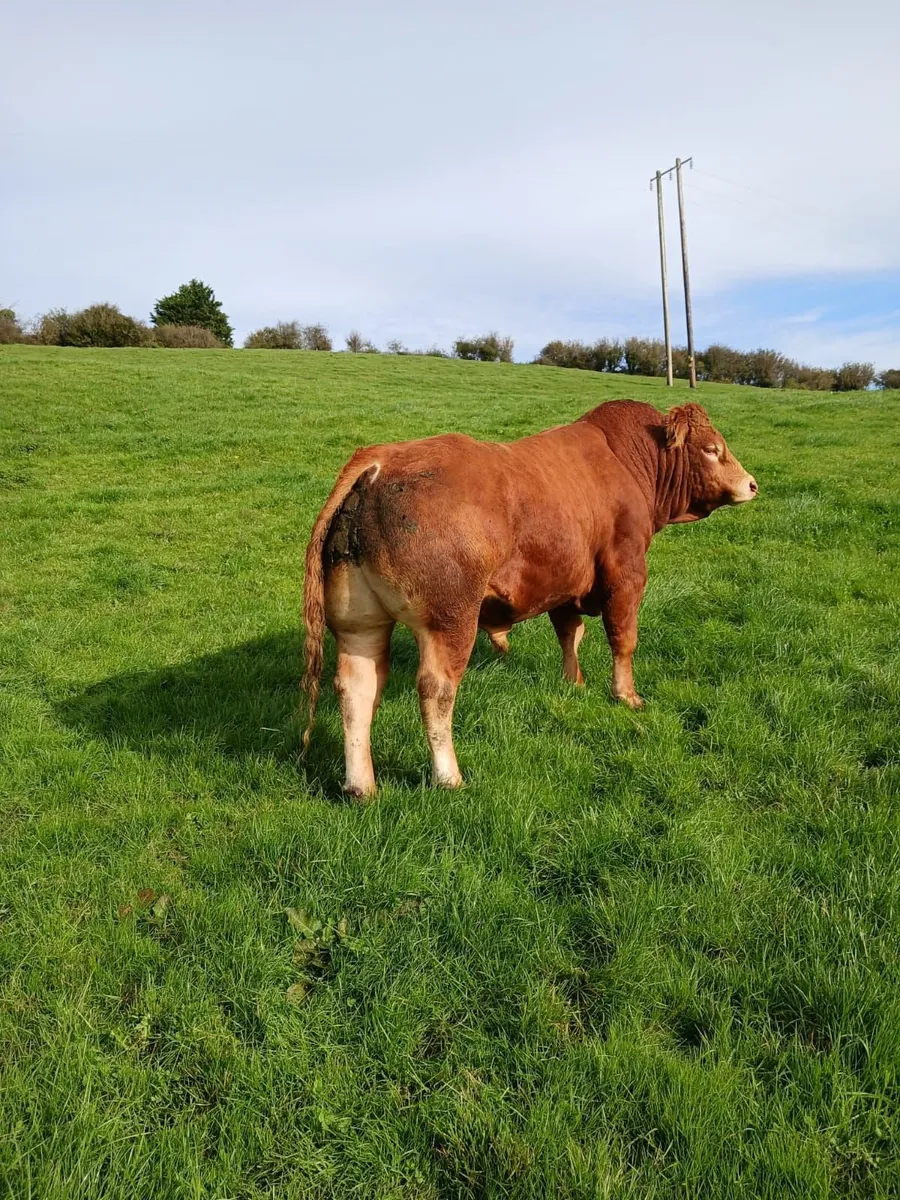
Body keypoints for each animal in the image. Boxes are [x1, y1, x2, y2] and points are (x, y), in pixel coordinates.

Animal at [302, 399, 757, 796]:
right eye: (712, 449)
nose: (752, 484)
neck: (626, 463)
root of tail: (380, 460)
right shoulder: (626, 573)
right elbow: (623, 639)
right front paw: (626, 696)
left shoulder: (566, 583)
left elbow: (570, 635)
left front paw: (574, 683)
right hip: (449, 621)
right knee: (436, 690)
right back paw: (449, 777)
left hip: (360, 624)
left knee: (356, 690)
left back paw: (361, 787)